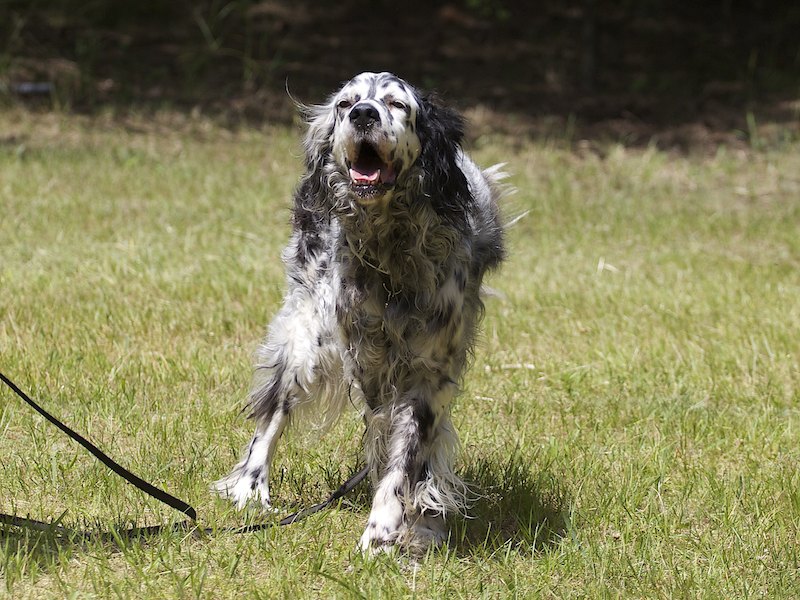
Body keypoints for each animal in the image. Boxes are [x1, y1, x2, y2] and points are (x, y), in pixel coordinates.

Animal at [214, 72, 507, 555]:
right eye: (346, 103)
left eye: (397, 104)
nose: (363, 114)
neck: (391, 250)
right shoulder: (367, 361)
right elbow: (385, 440)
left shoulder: (428, 376)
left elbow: (406, 460)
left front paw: (388, 530)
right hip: (306, 338)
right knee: (272, 417)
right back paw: (250, 487)